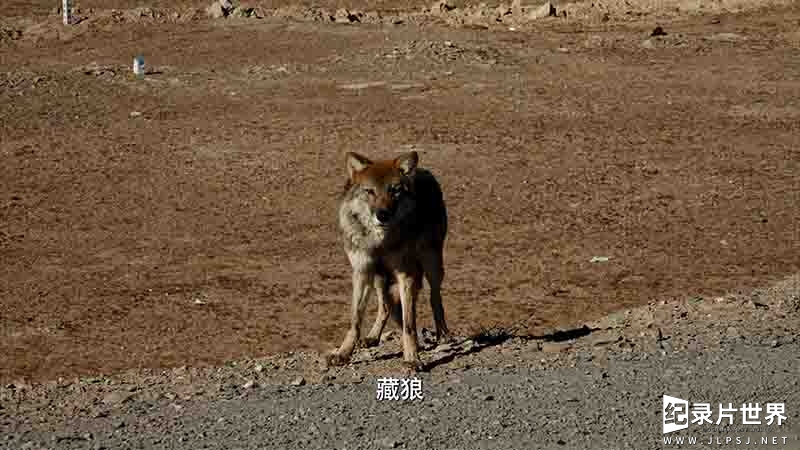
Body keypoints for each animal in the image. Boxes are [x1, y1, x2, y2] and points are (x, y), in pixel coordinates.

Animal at [324, 149, 450, 370]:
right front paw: (342, 353)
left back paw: (442, 334)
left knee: (435, 298)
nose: (382, 215)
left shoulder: (405, 273)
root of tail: (423, 171)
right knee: (385, 306)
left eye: (395, 191)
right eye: (370, 191)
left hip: (432, 263)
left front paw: (412, 358)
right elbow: (355, 320)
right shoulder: (362, 272)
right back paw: (373, 337)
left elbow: (409, 324)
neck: (380, 241)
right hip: (378, 278)